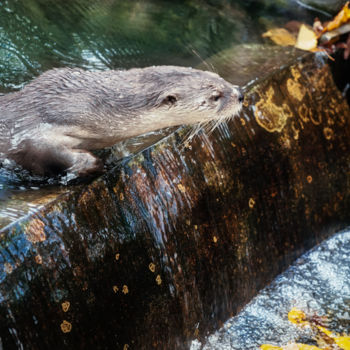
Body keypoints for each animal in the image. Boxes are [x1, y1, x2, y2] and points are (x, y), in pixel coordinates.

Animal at [0, 66, 243, 176]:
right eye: (215, 96)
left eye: (219, 77)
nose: (240, 94)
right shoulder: (29, 130)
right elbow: (36, 151)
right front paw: (93, 164)